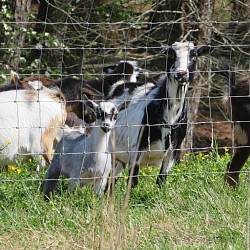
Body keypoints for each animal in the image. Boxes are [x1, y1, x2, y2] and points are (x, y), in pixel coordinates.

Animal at [107, 41, 211, 188]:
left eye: (194, 55)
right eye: (171, 54)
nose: (181, 74)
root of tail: (120, 84)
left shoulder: (173, 151)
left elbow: (161, 180)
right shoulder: (136, 149)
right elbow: (133, 183)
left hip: (120, 157)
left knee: (111, 179)